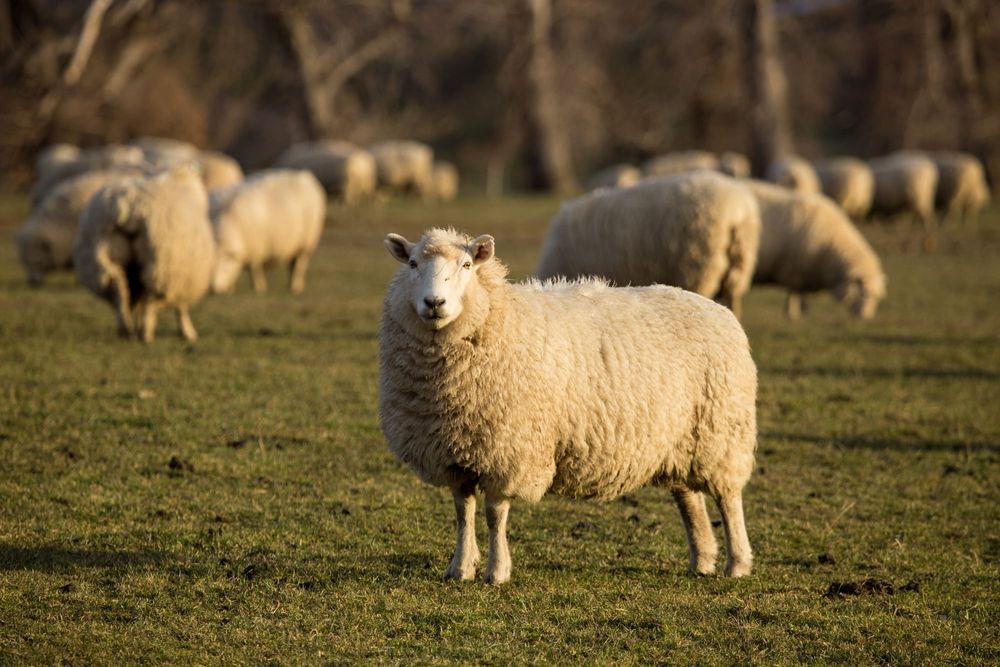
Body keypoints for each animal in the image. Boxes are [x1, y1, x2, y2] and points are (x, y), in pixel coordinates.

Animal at [73, 164, 214, 342]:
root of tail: (127, 205)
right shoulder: (182, 275)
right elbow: (181, 308)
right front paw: (188, 332)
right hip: (160, 264)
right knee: (149, 300)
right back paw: (146, 333)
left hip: (103, 259)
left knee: (119, 292)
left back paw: (126, 330)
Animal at [379, 227, 757, 584]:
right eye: (412, 263)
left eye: (467, 265)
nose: (434, 302)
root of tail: (716, 308)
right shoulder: (455, 453)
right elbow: (463, 512)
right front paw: (459, 568)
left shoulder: (508, 450)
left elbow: (494, 514)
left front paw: (496, 572)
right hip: (679, 442)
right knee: (689, 499)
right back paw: (702, 559)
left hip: (723, 432)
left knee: (728, 499)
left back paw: (737, 563)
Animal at [746, 180, 886, 319]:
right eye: (864, 293)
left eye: (876, 297)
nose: (866, 317)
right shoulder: (794, 269)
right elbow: (794, 293)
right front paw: (793, 312)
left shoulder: (804, 271)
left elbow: (801, 294)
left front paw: (803, 311)